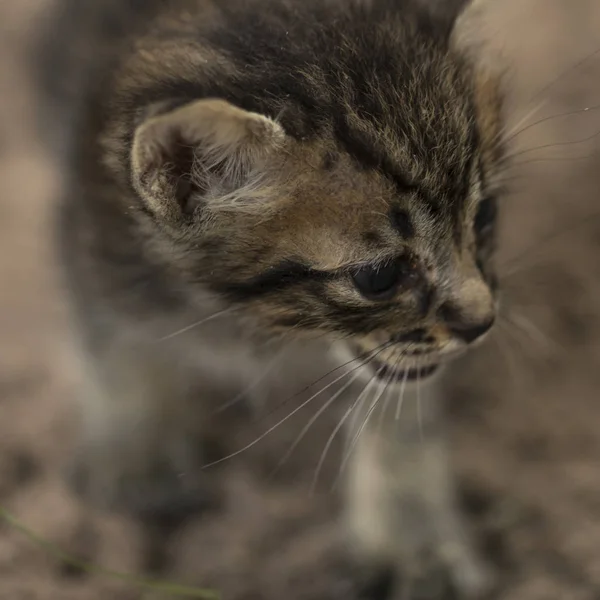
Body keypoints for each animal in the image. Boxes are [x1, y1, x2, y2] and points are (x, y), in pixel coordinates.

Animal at [37, 0, 504, 596]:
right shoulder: (96, 234)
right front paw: (133, 451)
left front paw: (412, 543)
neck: (244, 319)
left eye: (485, 217)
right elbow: (113, 351)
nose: (482, 323)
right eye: (379, 277)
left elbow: (402, 415)